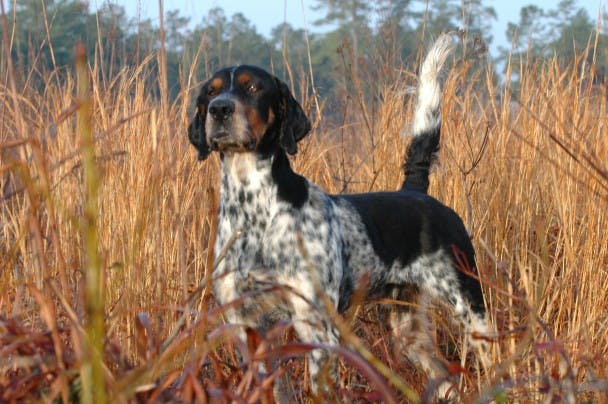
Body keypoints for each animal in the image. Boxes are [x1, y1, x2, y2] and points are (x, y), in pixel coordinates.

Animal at [188, 34, 492, 398]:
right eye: (210, 91)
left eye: (253, 88)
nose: (220, 109)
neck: (254, 210)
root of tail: (416, 191)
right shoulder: (246, 327)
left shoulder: (317, 326)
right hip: (408, 331)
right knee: (446, 382)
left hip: (470, 307)